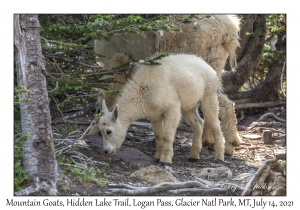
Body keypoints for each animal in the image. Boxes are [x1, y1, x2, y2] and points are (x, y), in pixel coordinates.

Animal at [90, 14, 243, 155]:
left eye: (109, 132)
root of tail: (228, 30)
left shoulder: (116, 60)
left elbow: (108, 96)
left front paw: (94, 130)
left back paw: (224, 143)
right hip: (213, 63)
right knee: (220, 101)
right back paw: (218, 142)